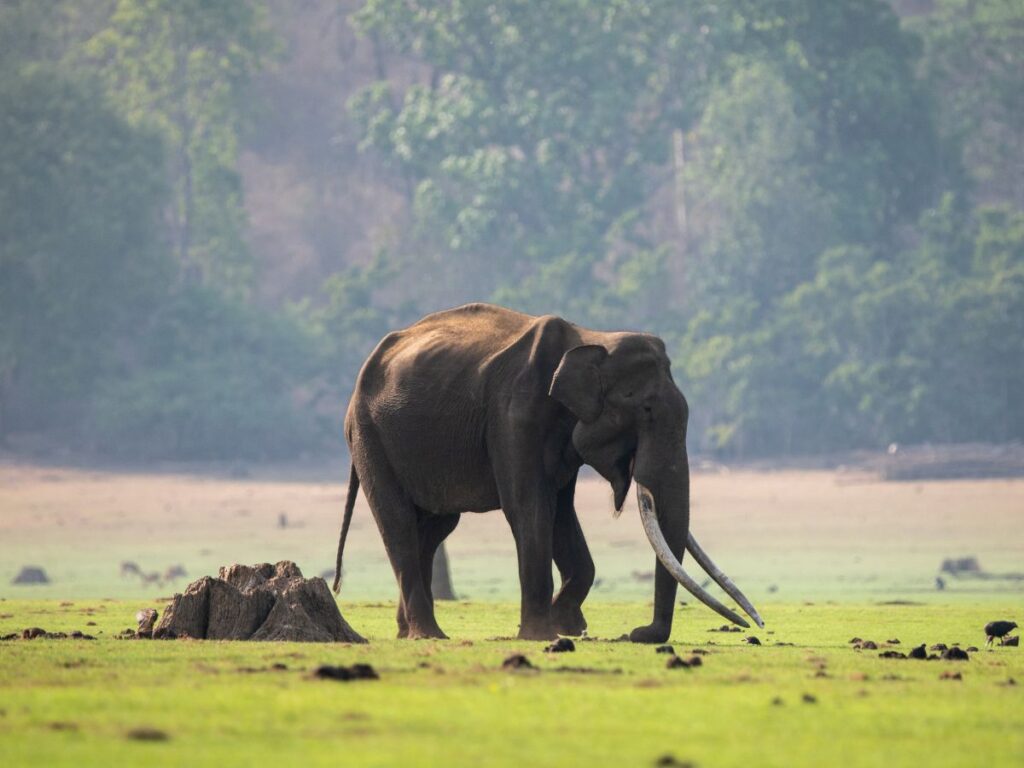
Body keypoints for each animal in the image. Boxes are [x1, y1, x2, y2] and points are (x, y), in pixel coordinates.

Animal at [331, 303, 765, 643]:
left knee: (435, 527)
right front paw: (543, 634)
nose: (639, 634)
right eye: (646, 411)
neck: (592, 338)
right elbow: (530, 507)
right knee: (399, 524)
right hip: (368, 434)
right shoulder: (515, 415)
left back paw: (409, 631)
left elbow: (561, 513)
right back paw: (429, 634)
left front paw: (570, 626)